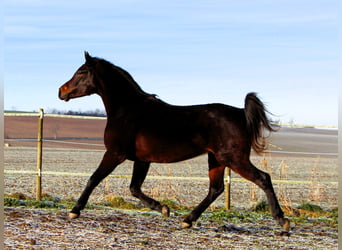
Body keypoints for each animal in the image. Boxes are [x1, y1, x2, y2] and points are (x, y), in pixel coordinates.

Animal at [58, 51, 288, 231]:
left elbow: (94, 179)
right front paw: (163, 209)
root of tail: (241, 113)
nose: (61, 91)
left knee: (263, 178)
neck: (127, 110)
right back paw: (187, 220)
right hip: (216, 159)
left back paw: (282, 220)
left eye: (81, 72)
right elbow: (134, 188)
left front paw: (74, 211)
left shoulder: (115, 154)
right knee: (216, 189)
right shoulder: (142, 160)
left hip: (234, 159)